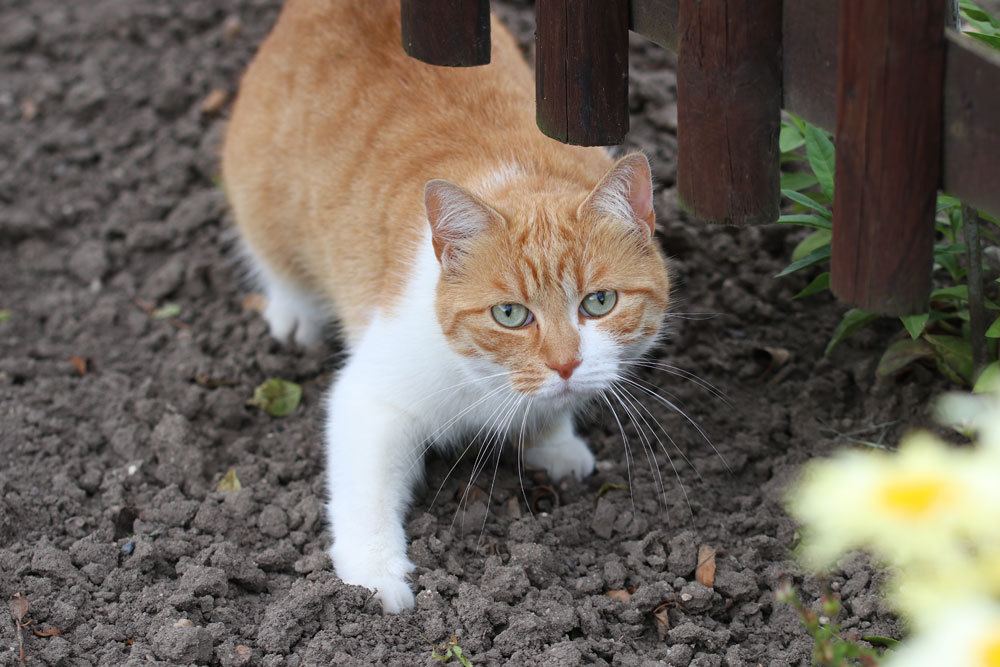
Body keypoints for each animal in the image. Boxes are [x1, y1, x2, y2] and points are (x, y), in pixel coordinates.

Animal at [223, 1, 668, 616]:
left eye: (599, 302)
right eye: (510, 315)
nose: (564, 364)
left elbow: (549, 415)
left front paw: (554, 443)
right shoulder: (371, 400)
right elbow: (365, 495)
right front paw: (375, 580)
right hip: (264, 199)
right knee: (273, 258)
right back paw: (294, 314)